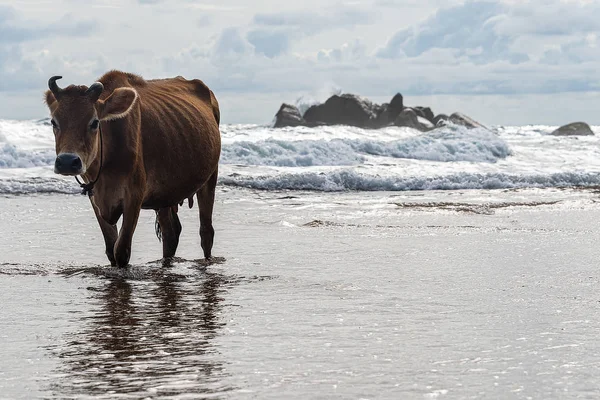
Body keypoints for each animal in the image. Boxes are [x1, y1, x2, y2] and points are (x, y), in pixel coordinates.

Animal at [44, 70, 221, 268]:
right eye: (54, 122)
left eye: (95, 122)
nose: (67, 161)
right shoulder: (94, 197)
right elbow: (111, 249)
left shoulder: (134, 196)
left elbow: (121, 250)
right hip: (165, 194)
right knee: (171, 233)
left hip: (210, 177)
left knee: (206, 232)